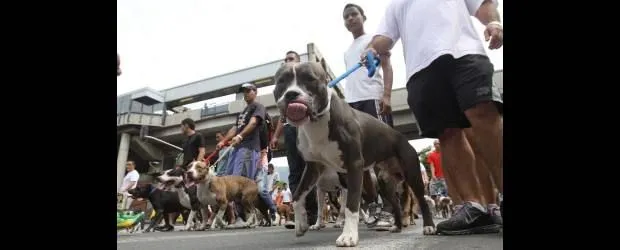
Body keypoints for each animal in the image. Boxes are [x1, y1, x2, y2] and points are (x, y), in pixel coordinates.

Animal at [272, 62, 436, 246]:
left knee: (422, 200)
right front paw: (301, 225)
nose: (291, 94)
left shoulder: (354, 166)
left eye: (310, 79)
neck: (317, 122)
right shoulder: (313, 167)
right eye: (281, 81)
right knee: (395, 204)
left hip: (412, 175)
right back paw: (397, 227)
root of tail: (401, 137)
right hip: (385, 182)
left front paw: (348, 236)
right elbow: (297, 195)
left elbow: (351, 206)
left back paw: (429, 226)